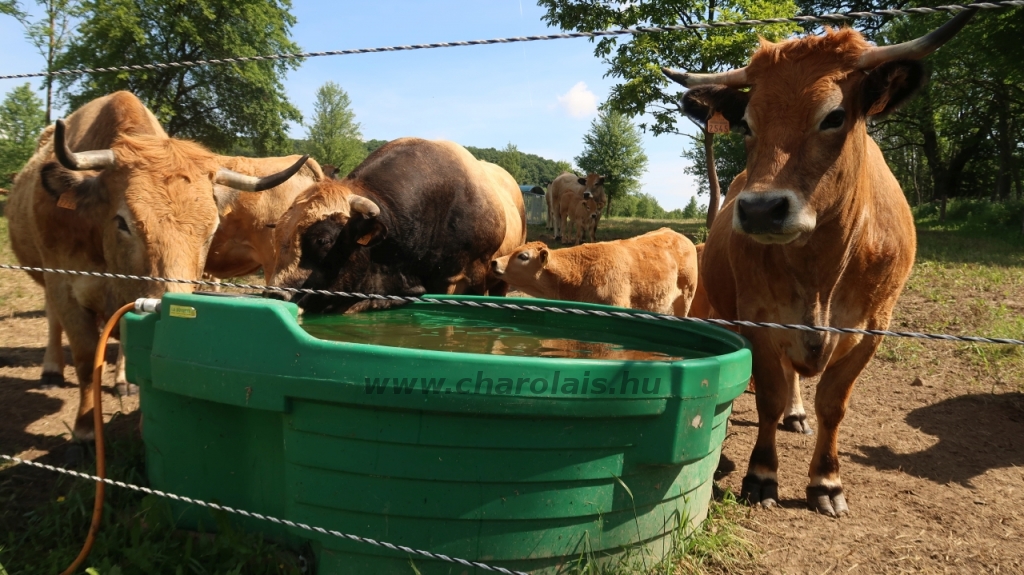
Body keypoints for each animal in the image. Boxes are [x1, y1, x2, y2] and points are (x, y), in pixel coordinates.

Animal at [7, 90, 307, 437]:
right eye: (123, 222)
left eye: (212, 229)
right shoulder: (63, 284)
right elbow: (85, 357)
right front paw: (85, 427)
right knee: (53, 319)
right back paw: (52, 371)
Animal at [663, 11, 974, 515]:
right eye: (747, 124)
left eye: (835, 116)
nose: (761, 209)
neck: (819, 274)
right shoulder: (760, 317)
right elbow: (769, 395)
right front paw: (762, 475)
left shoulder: (873, 327)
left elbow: (834, 403)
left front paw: (826, 481)